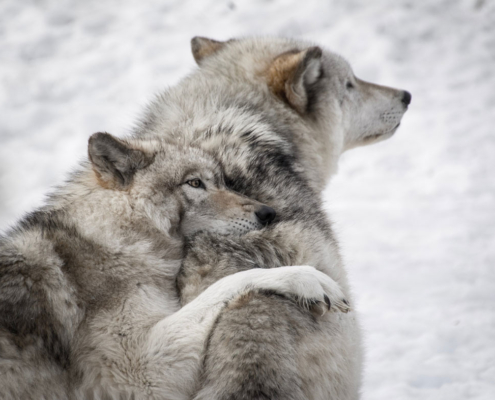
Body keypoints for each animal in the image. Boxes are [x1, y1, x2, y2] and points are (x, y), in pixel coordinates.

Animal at [0, 133, 348, 398]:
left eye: (222, 181)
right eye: (194, 183)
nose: (268, 213)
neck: (114, 237)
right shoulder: (139, 375)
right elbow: (233, 281)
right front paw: (308, 279)